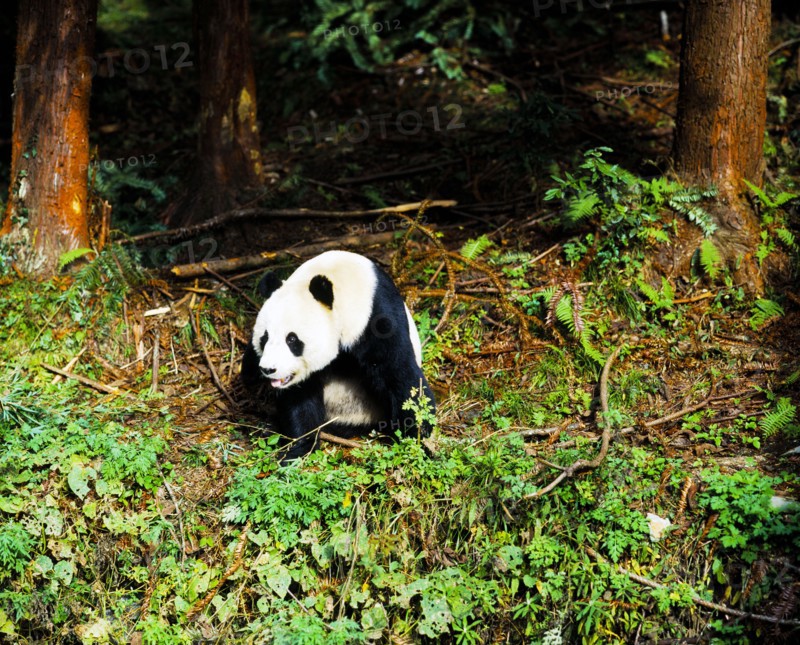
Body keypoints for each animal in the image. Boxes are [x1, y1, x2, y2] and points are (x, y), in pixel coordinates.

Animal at [241, 250, 435, 461]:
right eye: (264, 338)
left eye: (292, 340)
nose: (269, 369)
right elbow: (300, 399)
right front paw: (299, 449)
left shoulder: (377, 319)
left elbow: (400, 374)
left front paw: (416, 439)